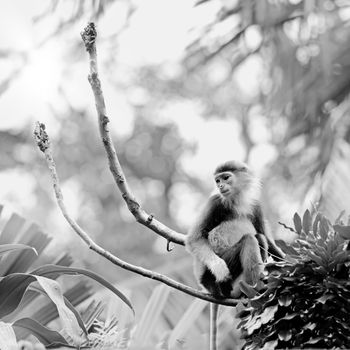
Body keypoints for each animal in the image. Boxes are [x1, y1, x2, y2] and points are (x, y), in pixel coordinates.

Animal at [186, 160, 284, 300]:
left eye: (226, 177)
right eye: (217, 180)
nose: (220, 185)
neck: (238, 201)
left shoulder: (255, 206)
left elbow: (267, 239)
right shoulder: (215, 202)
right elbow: (194, 239)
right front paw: (220, 269)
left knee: (260, 238)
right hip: (210, 278)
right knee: (249, 239)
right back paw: (256, 290)